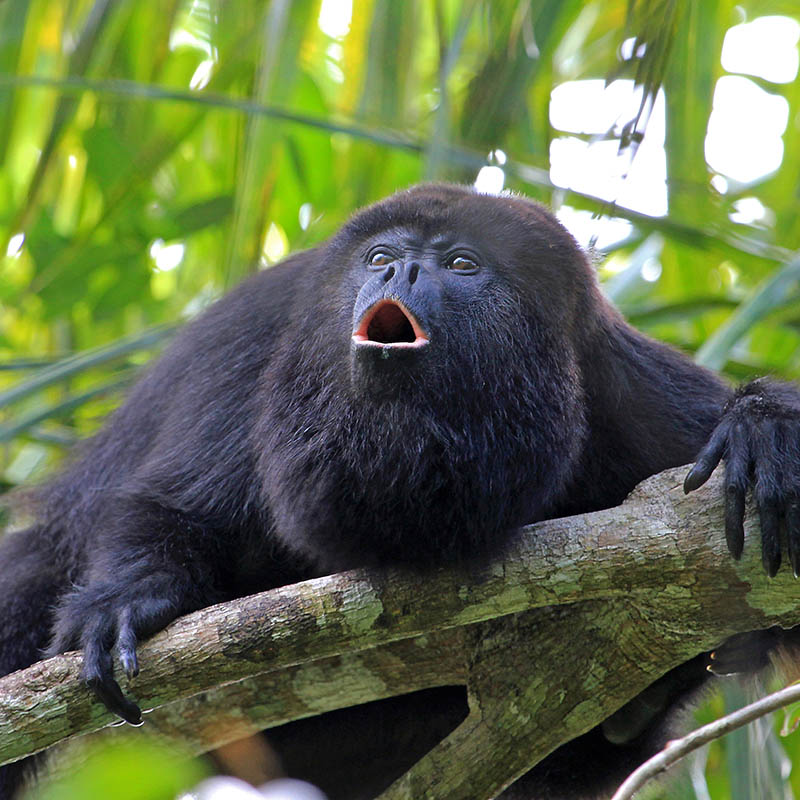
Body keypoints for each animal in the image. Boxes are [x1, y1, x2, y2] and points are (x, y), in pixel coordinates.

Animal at [1, 183, 800, 800]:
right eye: (382, 257)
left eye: (462, 263)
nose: (405, 272)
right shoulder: (260, 342)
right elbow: (176, 506)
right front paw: (130, 598)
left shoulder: (625, 390)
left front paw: (764, 429)